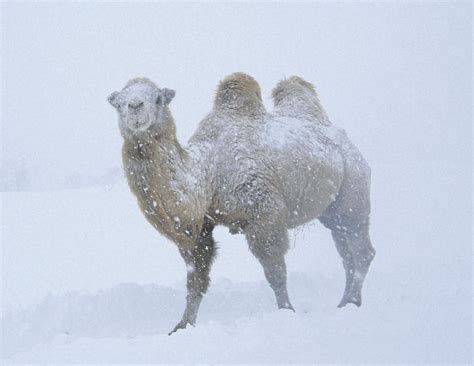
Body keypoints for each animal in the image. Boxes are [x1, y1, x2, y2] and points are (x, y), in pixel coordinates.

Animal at [109, 71, 376, 334]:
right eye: (118, 103)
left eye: (158, 99)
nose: (135, 106)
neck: (208, 174)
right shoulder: (200, 229)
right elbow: (196, 278)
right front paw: (182, 325)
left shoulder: (265, 214)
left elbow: (275, 271)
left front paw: (286, 311)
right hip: (331, 210)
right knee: (345, 251)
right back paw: (345, 302)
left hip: (354, 190)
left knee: (361, 248)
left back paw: (351, 301)